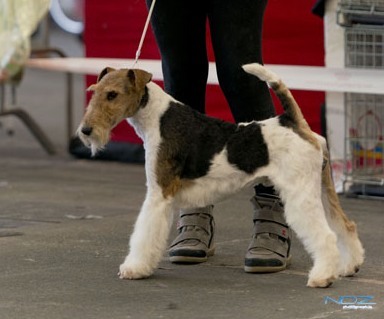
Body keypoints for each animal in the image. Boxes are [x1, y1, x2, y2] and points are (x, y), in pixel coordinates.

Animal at [77, 63, 364, 288]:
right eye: (94, 92)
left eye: (112, 94)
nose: (86, 131)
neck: (157, 118)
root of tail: (293, 122)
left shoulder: (159, 193)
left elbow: (144, 234)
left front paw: (134, 268)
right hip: (321, 189)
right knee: (345, 225)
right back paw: (349, 266)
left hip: (300, 194)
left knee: (325, 235)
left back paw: (322, 277)